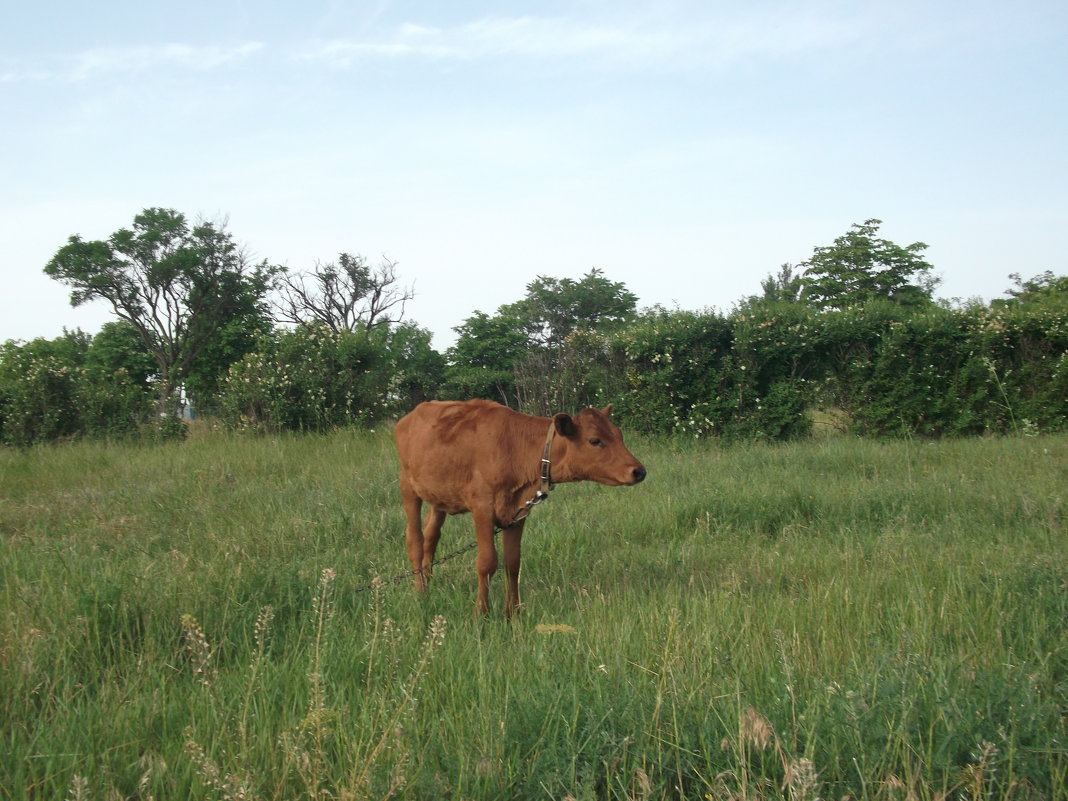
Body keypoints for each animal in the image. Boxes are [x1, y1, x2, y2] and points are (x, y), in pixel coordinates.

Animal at [393, 399, 640, 619]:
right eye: (595, 441)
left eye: (619, 435)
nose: (639, 471)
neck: (516, 450)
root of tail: (411, 415)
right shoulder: (482, 508)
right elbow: (487, 563)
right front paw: (480, 614)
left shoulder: (517, 513)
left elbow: (512, 563)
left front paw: (513, 613)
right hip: (407, 486)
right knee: (415, 539)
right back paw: (421, 592)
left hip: (439, 496)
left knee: (431, 536)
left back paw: (428, 582)